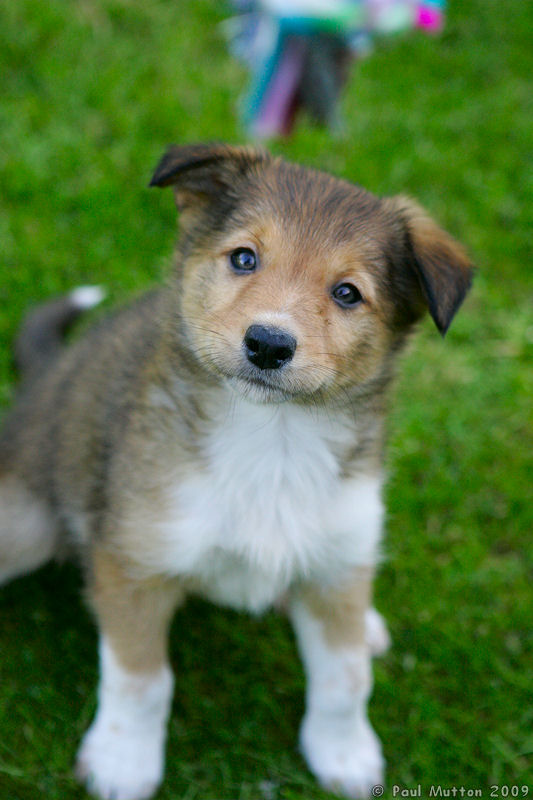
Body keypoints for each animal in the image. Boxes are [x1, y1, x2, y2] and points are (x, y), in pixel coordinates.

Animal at [2, 145, 472, 800]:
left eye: (348, 293)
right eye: (244, 258)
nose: (268, 344)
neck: (273, 443)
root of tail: (48, 373)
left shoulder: (338, 559)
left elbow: (345, 679)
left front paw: (345, 755)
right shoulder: (133, 563)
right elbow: (143, 680)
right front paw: (123, 762)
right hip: (22, 523)